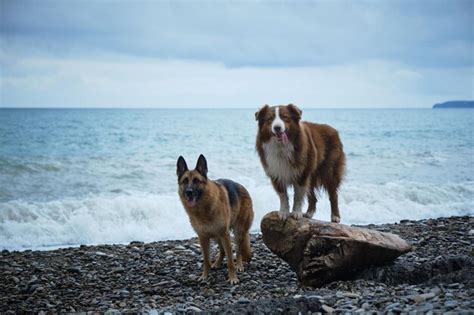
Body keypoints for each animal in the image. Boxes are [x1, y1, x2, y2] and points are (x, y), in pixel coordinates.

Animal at [176, 154, 254, 286]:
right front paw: (204, 276)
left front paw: (233, 278)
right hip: (216, 235)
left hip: (237, 232)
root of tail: (243, 187)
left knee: (238, 250)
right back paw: (217, 263)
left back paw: (239, 265)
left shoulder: (225, 235)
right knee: (222, 250)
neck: (203, 209)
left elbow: (230, 261)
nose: (188, 192)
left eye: (196, 180)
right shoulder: (203, 237)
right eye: (185, 181)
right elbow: (206, 260)